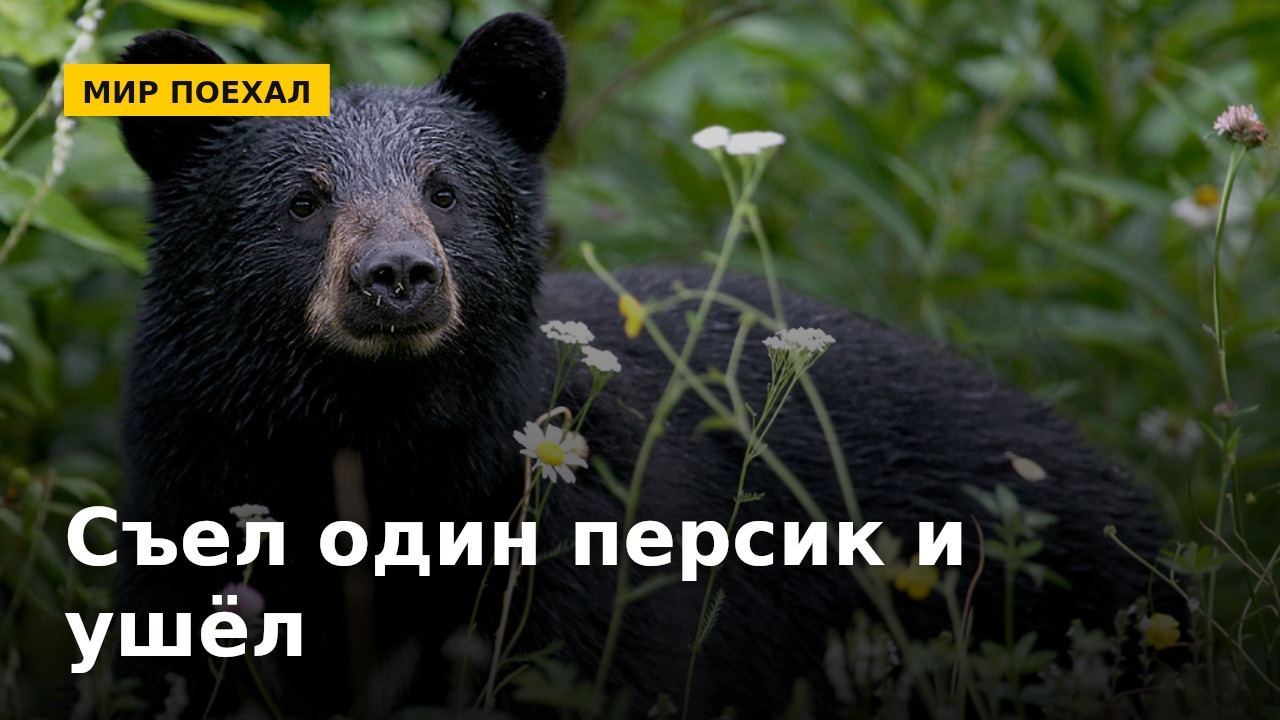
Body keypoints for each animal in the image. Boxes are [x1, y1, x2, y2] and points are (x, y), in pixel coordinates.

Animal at [109, 12, 1173, 720]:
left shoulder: (578, 536)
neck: (374, 439)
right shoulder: (192, 487)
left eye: (446, 192)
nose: (399, 276)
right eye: (304, 200)